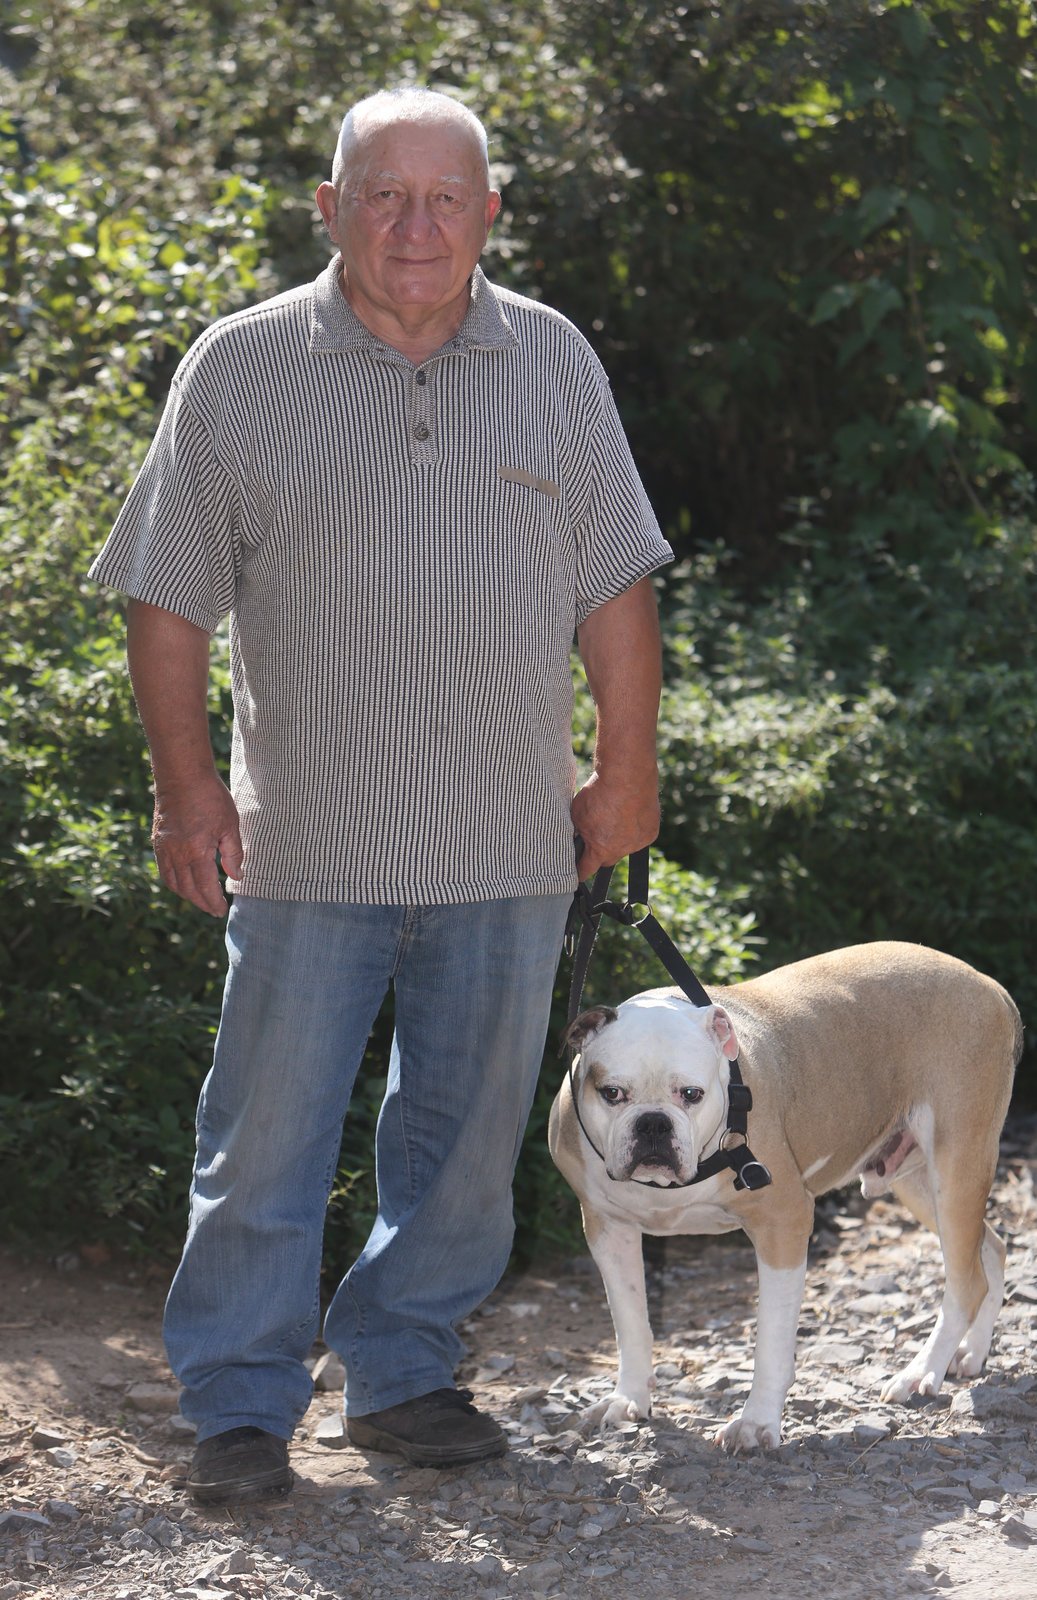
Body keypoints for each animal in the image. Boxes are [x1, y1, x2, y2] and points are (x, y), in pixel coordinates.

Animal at [550, 934, 1017, 1452]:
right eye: (612, 1093)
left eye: (691, 1094)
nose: (653, 1124)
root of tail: (989, 985)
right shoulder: (608, 1231)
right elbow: (630, 1321)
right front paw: (628, 1398)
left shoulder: (783, 1223)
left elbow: (771, 1340)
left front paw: (755, 1423)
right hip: (919, 1182)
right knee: (988, 1251)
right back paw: (970, 1354)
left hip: (956, 1163)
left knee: (966, 1280)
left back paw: (921, 1372)